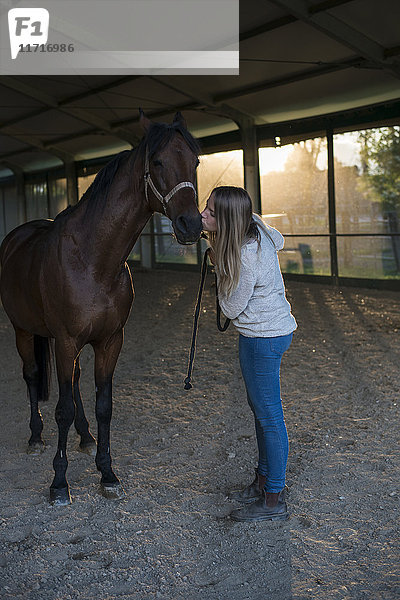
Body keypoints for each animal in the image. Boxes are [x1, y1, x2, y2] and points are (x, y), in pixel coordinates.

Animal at [0, 110, 203, 504]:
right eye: (158, 161)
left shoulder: (109, 341)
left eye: (196, 161)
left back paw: (84, 435)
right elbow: (61, 409)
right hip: (23, 331)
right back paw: (35, 436)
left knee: (75, 382)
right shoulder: (65, 340)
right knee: (32, 376)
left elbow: (103, 406)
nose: (191, 225)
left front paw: (107, 472)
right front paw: (59, 483)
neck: (94, 261)